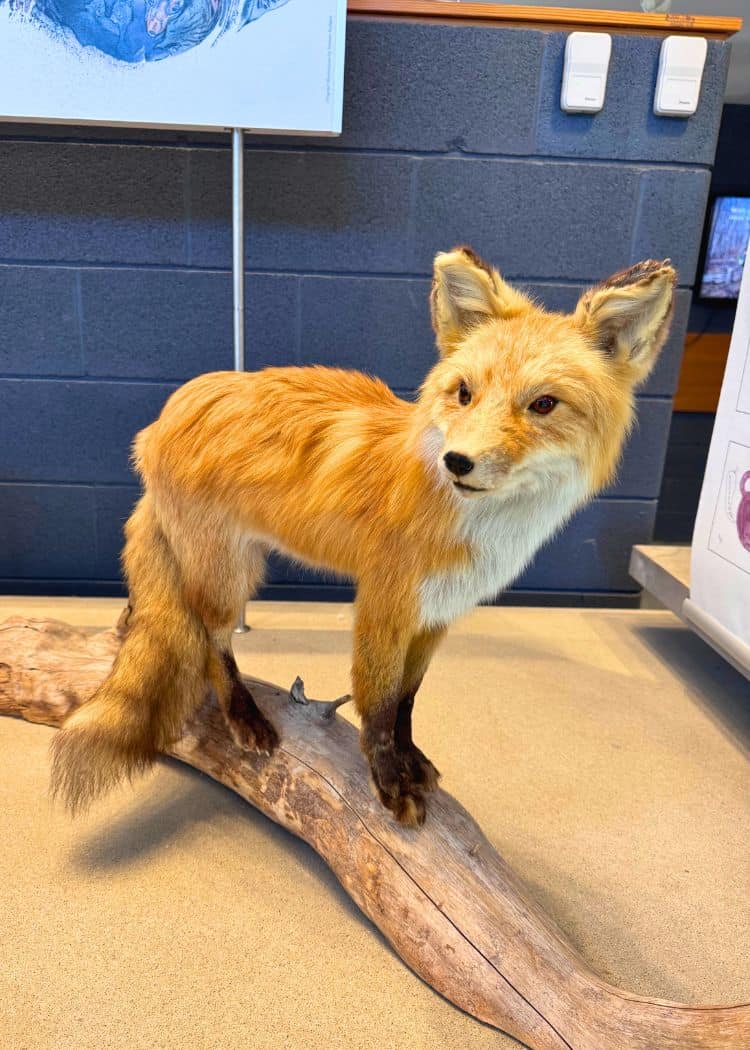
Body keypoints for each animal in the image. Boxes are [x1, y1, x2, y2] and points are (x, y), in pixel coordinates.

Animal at [50, 246, 676, 827]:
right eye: (465, 393)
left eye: (543, 404)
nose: (457, 461)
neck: (475, 526)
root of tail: (168, 412)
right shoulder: (384, 604)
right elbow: (376, 707)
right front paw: (388, 780)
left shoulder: (437, 613)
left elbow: (407, 701)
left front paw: (411, 760)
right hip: (230, 577)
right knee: (210, 640)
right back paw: (244, 716)